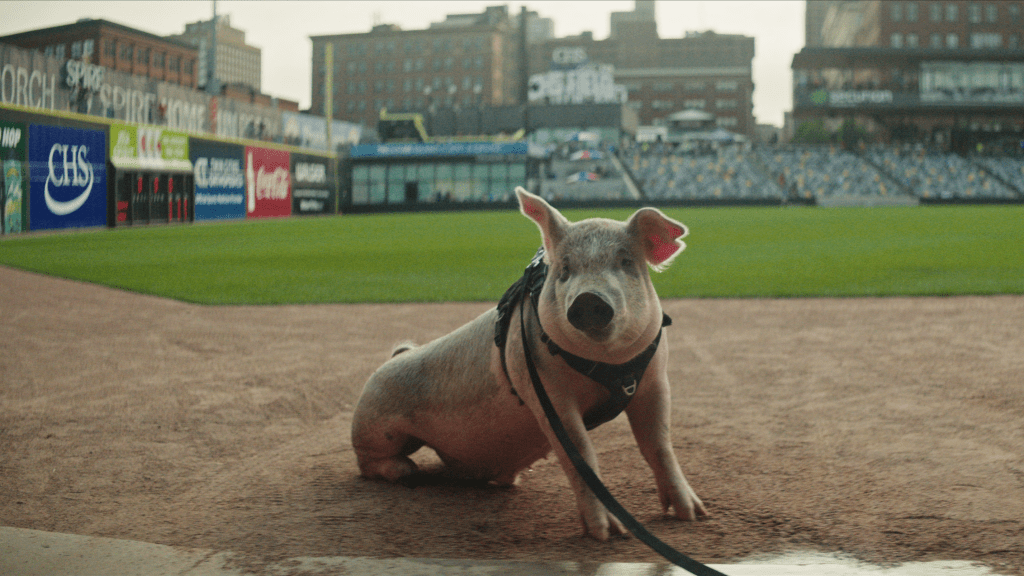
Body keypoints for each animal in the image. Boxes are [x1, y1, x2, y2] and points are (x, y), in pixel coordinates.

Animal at [350, 187, 704, 537]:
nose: (588, 299)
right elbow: (580, 453)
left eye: (626, 262)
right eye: (564, 270)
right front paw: (609, 533)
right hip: (374, 424)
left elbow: (659, 444)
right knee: (367, 462)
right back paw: (407, 473)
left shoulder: (654, 380)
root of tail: (396, 356)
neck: (607, 362)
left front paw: (692, 515)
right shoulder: (545, 391)